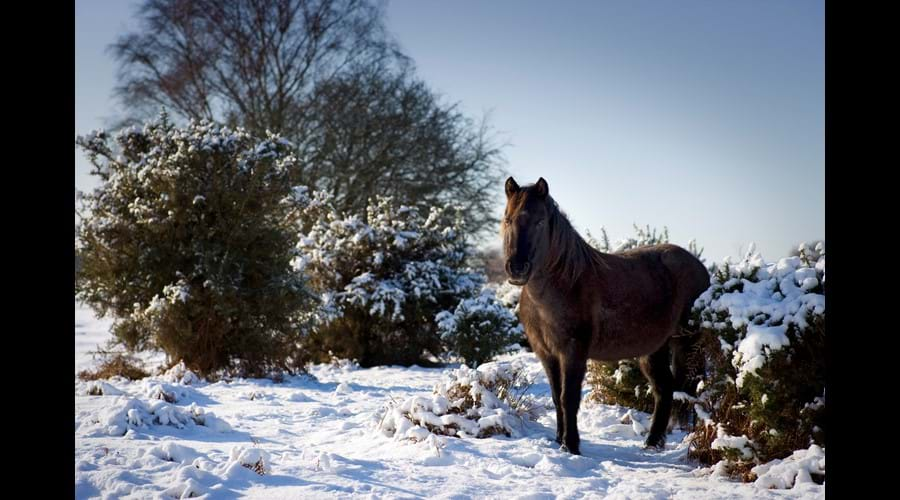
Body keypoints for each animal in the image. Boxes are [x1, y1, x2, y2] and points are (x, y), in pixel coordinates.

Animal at [502, 178, 708, 456]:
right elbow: (556, 397)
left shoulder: (573, 352)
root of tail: (701, 270)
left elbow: (569, 398)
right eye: (508, 219)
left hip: (688, 345)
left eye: (540, 222)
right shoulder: (546, 354)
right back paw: (652, 443)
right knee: (664, 390)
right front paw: (559, 441)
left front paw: (571, 445)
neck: (563, 284)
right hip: (654, 350)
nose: (517, 268)